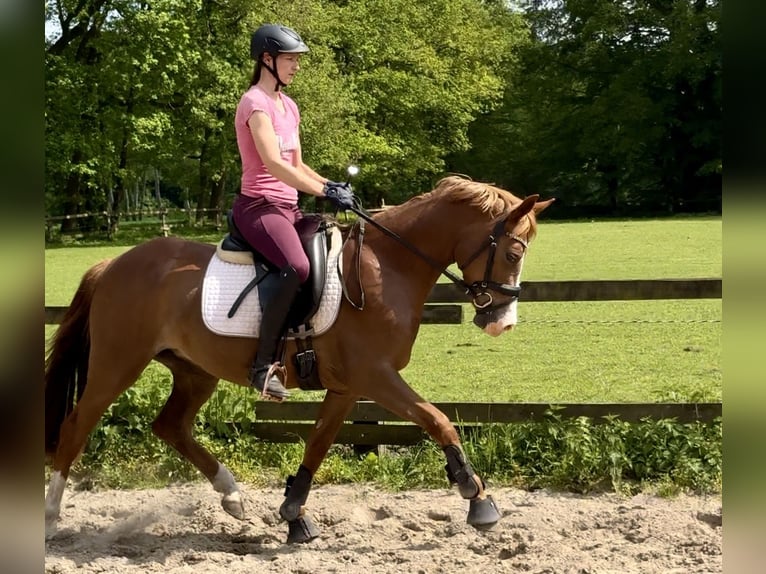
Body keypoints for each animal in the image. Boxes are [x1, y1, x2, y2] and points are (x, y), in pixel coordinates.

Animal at [45, 176, 556, 544]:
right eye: (514, 251)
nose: (503, 322)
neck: (388, 267)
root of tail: (113, 263)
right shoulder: (376, 377)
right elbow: (437, 419)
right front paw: (477, 498)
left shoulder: (348, 386)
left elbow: (318, 444)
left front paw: (294, 514)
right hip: (117, 365)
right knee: (75, 427)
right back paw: (50, 519)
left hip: (195, 371)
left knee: (170, 426)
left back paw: (232, 497)